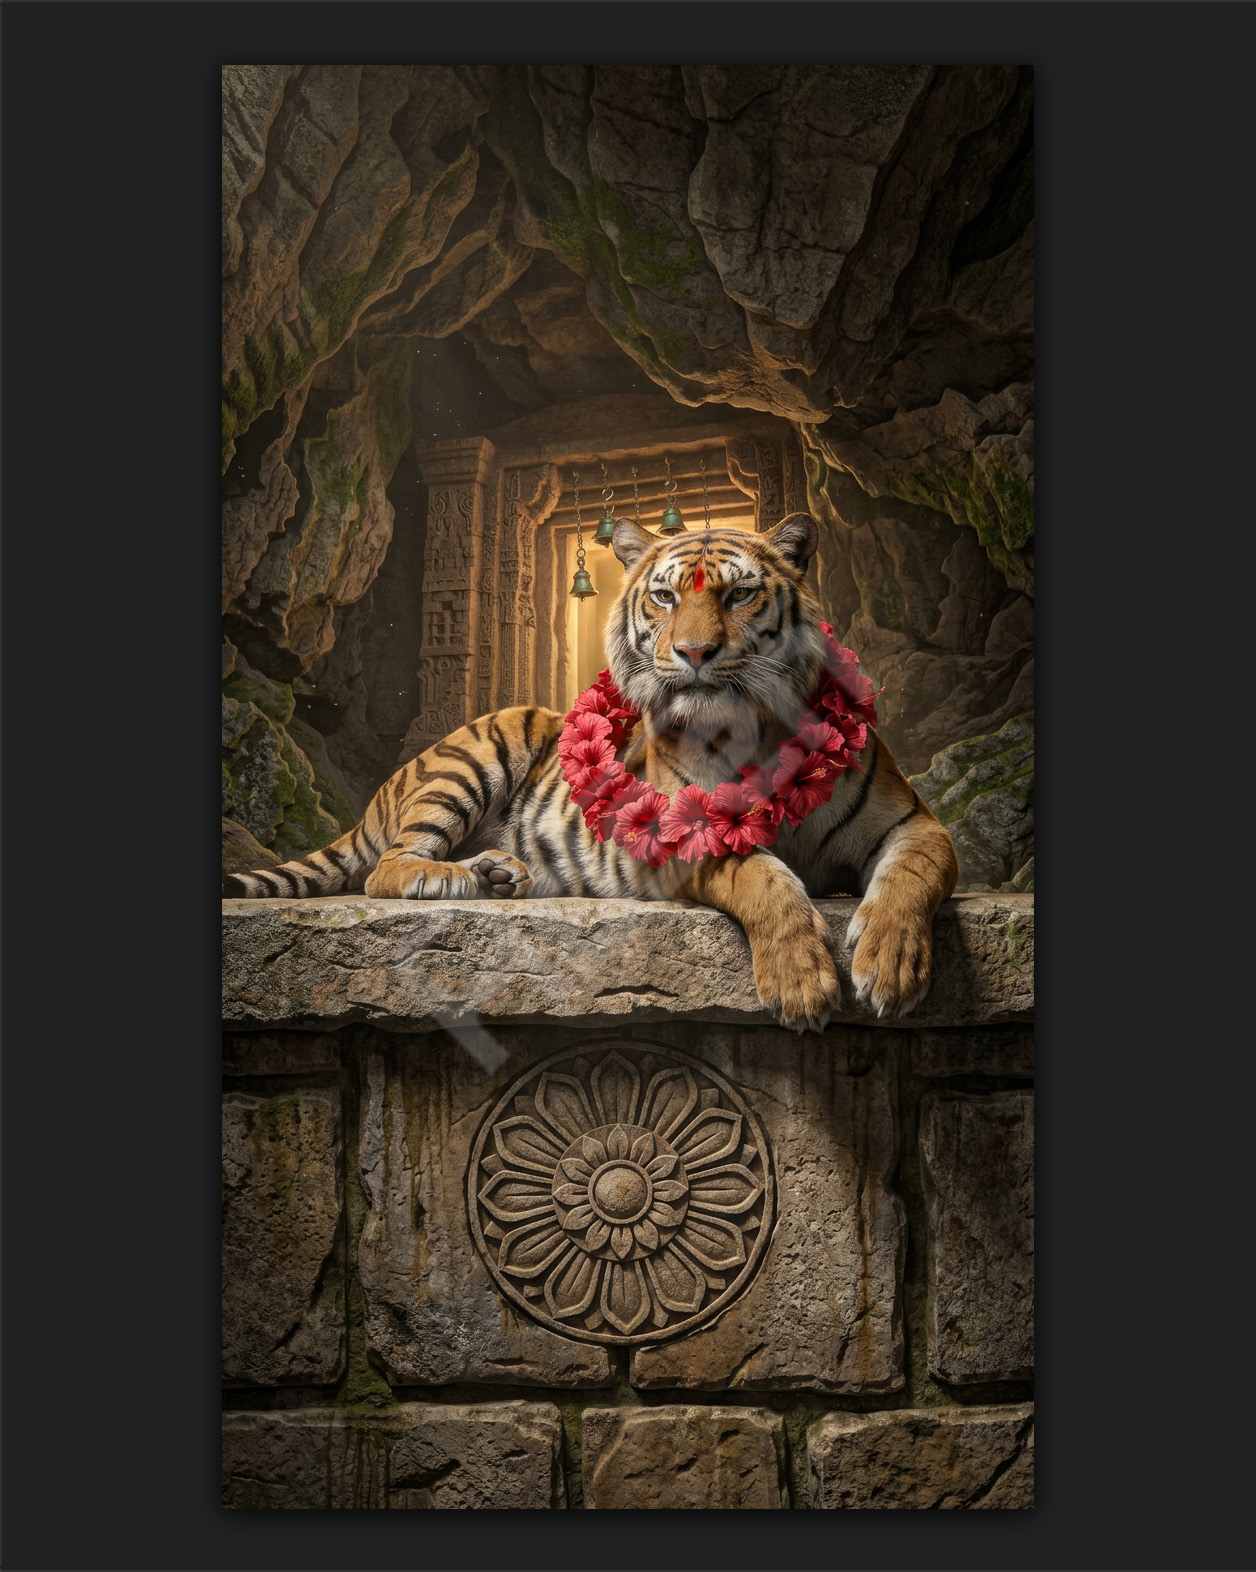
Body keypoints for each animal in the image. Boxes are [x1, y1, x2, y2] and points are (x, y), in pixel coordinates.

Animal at [223, 512, 958, 1029]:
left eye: (741, 594)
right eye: (664, 597)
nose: (694, 652)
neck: (758, 729)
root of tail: (384, 791)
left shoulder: (915, 823)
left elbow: (911, 875)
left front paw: (891, 967)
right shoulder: (682, 837)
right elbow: (764, 878)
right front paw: (801, 982)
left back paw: (498, 873)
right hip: (481, 751)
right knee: (388, 866)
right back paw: (452, 877)